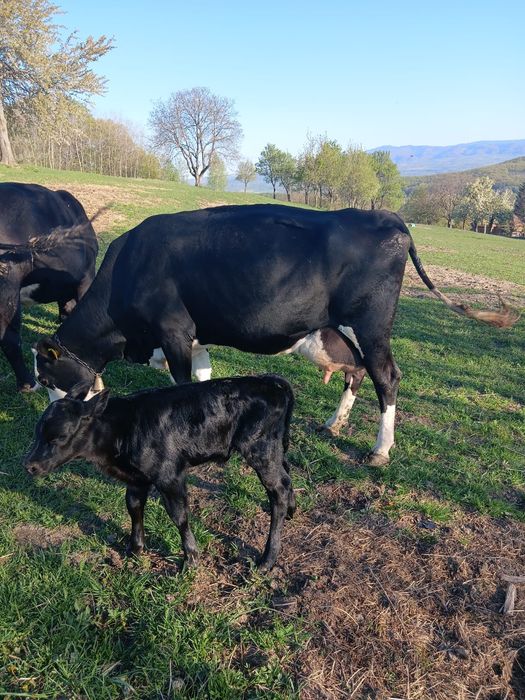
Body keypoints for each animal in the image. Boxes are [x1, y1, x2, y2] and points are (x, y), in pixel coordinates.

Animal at [24, 375, 296, 571]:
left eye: (59, 437)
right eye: (37, 432)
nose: (29, 465)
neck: (124, 428)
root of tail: (269, 381)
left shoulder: (170, 476)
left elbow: (179, 516)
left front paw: (190, 559)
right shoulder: (137, 479)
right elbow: (133, 507)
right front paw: (135, 549)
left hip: (260, 449)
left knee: (278, 490)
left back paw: (267, 560)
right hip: (274, 450)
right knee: (287, 473)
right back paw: (291, 512)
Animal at [33, 204, 518, 466]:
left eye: (46, 378)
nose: (51, 424)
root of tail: (388, 216)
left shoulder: (174, 331)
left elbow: (182, 386)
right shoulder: (195, 338)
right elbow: (204, 382)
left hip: (371, 323)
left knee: (387, 376)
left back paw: (380, 449)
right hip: (341, 331)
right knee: (358, 371)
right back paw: (335, 422)